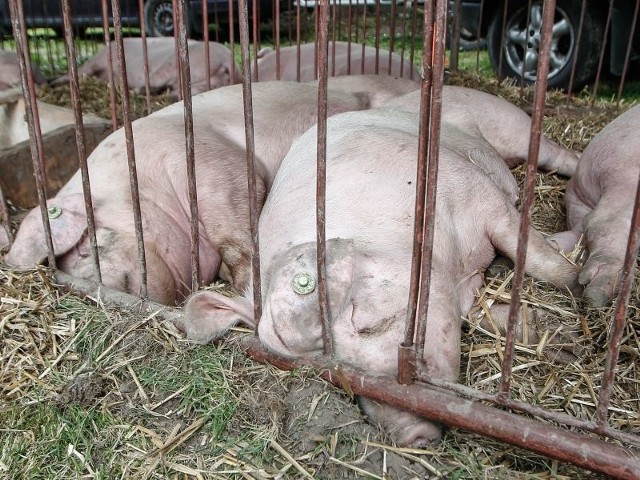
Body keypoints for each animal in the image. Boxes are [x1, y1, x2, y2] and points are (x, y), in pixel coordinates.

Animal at [181, 109, 580, 446]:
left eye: (366, 323)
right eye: (334, 372)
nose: (413, 435)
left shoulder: (476, 194)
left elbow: (534, 254)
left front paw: (577, 288)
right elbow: (483, 313)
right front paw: (549, 335)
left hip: (510, 129)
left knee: (554, 157)